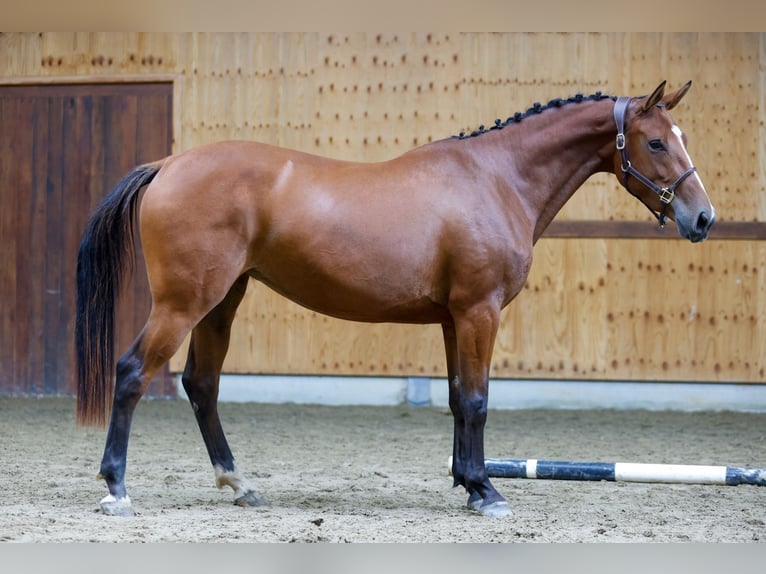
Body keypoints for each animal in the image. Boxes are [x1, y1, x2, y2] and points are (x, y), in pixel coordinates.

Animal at [75, 82, 716, 520]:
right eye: (656, 142)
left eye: (684, 138)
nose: (703, 218)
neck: (496, 178)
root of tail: (167, 165)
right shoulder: (479, 311)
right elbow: (478, 400)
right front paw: (487, 491)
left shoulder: (455, 320)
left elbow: (458, 399)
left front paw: (467, 482)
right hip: (183, 304)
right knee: (132, 372)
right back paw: (117, 489)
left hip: (220, 304)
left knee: (201, 385)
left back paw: (239, 484)